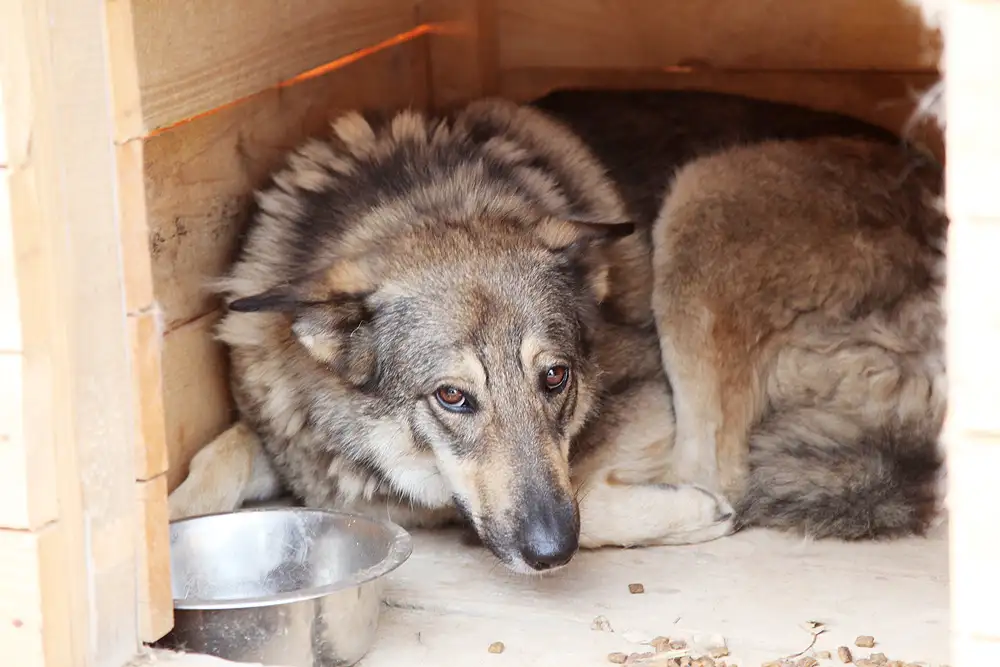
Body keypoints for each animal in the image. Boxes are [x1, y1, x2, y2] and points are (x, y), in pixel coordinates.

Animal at [168, 90, 947, 573]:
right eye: (451, 397)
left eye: (556, 378)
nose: (549, 550)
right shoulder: (287, 436)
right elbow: (216, 457)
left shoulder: (641, 391)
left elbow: (573, 493)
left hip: (705, 203)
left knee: (717, 470)